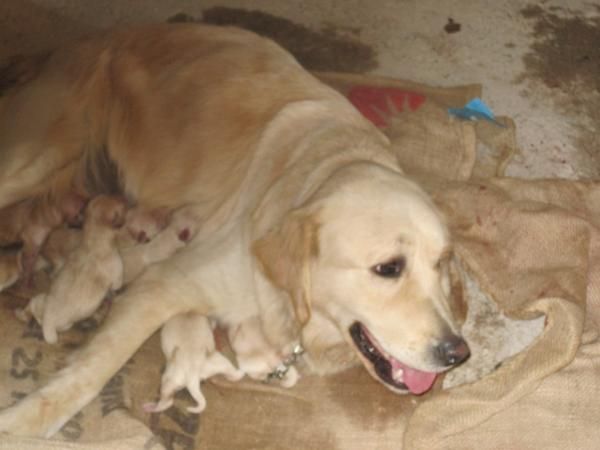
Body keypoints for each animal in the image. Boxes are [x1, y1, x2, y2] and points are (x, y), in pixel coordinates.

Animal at [21, 195, 127, 342]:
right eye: (122, 206)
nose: (125, 199)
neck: (93, 242)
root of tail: (48, 321)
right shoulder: (117, 277)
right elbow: (117, 285)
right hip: (67, 325)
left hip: (40, 299)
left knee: (30, 307)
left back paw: (21, 313)